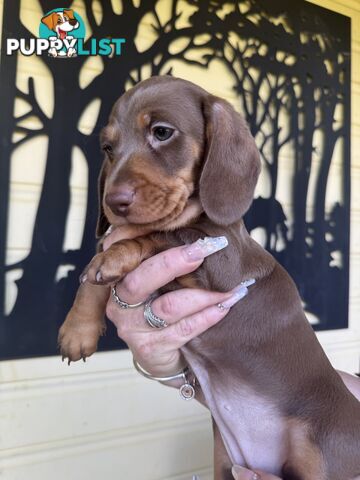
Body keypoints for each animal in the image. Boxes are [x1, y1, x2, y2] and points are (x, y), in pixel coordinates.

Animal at [59, 77, 360, 478]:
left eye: (162, 132)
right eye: (108, 148)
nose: (114, 203)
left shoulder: (223, 262)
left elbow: (156, 235)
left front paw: (115, 255)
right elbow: (98, 270)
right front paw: (78, 329)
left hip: (319, 458)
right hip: (224, 461)